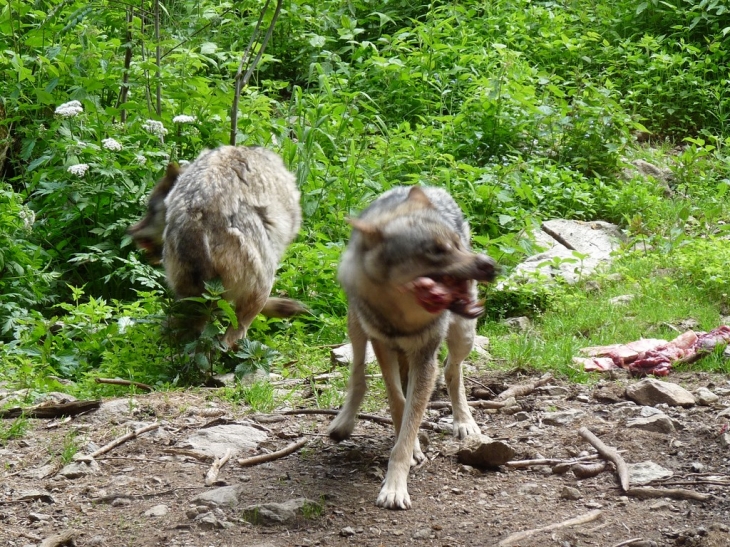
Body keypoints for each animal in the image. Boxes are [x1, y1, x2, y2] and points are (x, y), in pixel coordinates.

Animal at [328, 186, 494, 512]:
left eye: (456, 244)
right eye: (435, 251)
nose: (489, 264)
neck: (402, 317)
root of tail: (430, 187)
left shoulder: (425, 357)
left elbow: (410, 420)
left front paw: (395, 488)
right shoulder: (382, 344)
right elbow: (399, 403)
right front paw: (413, 446)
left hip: (463, 336)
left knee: (452, 371)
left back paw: (464, 422)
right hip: (356, 326)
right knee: (358, 375)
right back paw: (343, 423)